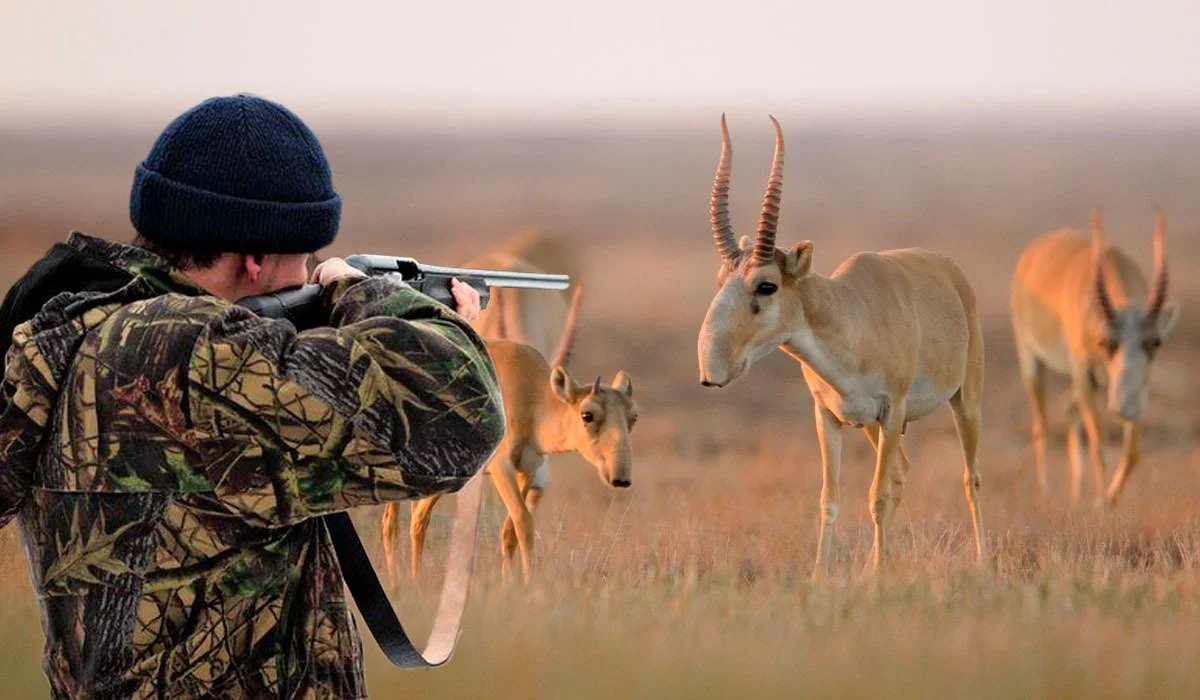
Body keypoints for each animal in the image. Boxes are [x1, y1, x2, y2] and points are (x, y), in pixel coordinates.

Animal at [384, 285, 638, 585]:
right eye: (587, 415)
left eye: (633, 417)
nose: (620, 478)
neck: (532, 395)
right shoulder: (501, 466)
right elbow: (523, 520)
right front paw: (528, 583)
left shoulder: (528, 468)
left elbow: (510, 530)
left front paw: (508, 582)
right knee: (392, 520)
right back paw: (398, 579)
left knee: (418, 516)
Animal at [700, 113, 988, 576]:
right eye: (721, 279)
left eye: (767, 284)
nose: (712, 371)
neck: (849, 312)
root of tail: (950, 272)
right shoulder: (828, 417)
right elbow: (829, 500)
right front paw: (823, 575)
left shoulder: (893, 410)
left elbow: (877, 495)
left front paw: (875, 579)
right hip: (872, 426)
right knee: (902, 472)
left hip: (964, 402)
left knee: (970, 477)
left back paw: (982, 560)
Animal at [1012, 207, 1180, 509]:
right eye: (1106, 342)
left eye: (1155, 342)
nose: (1125, 408)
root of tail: (1034, 251)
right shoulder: (1082, 370)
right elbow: (1098, 442)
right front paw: (1100, 504)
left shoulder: (1137, 386)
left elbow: (1133, 451)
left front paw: (1108, 502)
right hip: (1033, 363)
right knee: (1040, 426)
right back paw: (1046, 494)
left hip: (1096, 383)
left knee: (1068, 409)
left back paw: (1076, 496)